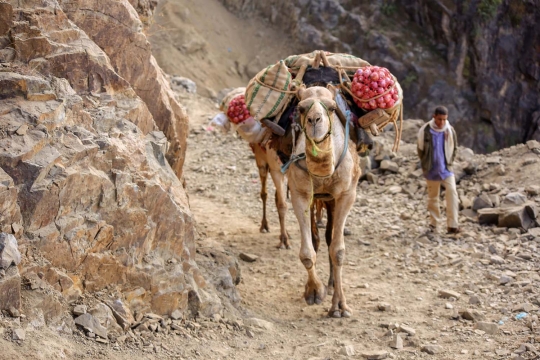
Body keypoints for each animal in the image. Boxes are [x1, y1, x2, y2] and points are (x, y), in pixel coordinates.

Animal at [284, 85, 360, 318]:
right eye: (300, 107)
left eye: (333, 107)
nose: (315, 120)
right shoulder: (299, 193)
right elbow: (307, 252)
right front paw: (314, 291)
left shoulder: (347, 194)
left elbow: (338, 250)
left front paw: (340, 307)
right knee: (318, 239)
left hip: (332, 200)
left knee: (329, 238)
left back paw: (333, 284)